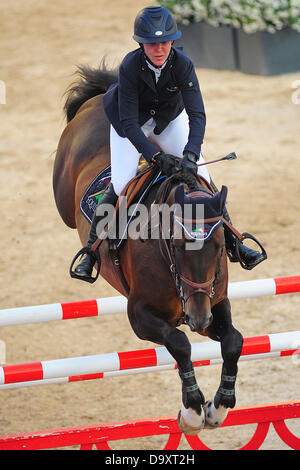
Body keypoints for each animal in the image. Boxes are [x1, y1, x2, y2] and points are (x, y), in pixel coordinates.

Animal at [52, 64, 244, 436]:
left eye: (218, 247)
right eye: (176, 245)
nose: (198, 319)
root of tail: (102, 95)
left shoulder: (215, 301)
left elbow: (233, 341)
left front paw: (219, 407)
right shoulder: (140, 315)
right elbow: (181, 344)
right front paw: (192, 411)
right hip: (65, 194)